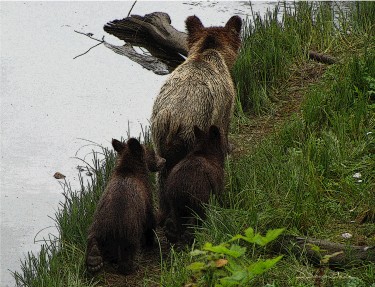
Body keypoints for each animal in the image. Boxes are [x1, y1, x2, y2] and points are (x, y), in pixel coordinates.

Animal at [87, 138, 166, 276]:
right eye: (152, 152)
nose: (163, 160)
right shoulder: (146, 197)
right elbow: (150, 221)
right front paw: (151, 242)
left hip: (98, 221)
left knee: (92, 238)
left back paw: (94, 263)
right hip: (129, 227)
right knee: (128, 249)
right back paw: (129, 267)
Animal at [151, 15, 242, 202]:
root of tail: (173, 118)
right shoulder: (225, 106)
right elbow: (223, 134)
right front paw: (228, 152)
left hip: (158, 136)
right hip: (192, 131)